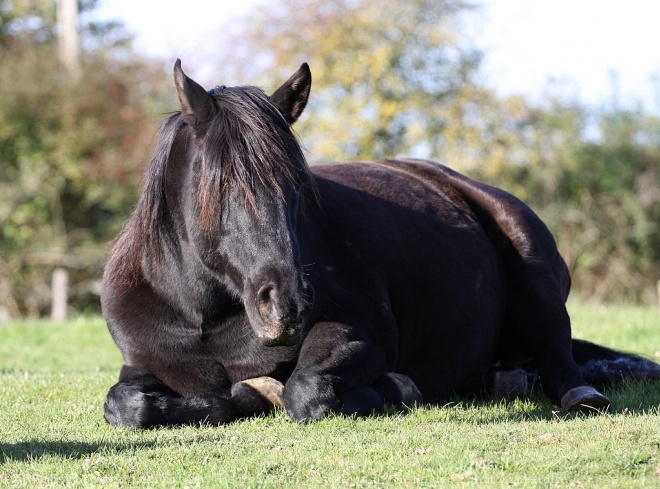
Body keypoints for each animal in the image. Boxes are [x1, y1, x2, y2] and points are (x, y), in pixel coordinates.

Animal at [100, 60, 656, 428]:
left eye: (299, 185)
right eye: (217, 189)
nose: (288, 305)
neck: (206, 316)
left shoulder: (359, 334)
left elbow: (306, 391)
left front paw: (393, 387)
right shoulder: (145, 365)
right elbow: (127, 405)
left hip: (534, 272)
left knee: (558, 351)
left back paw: (577, 392)